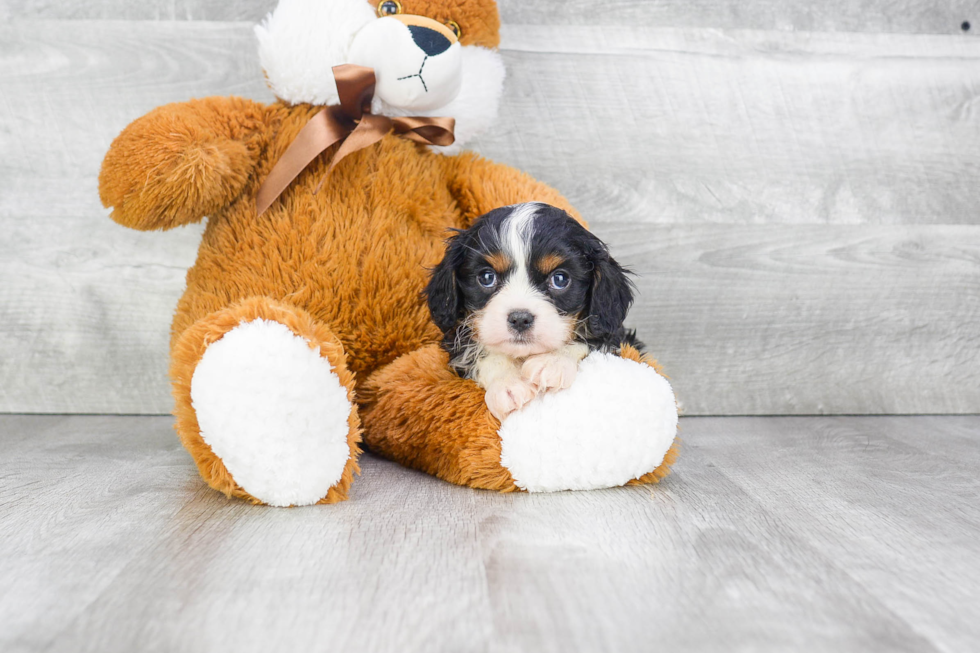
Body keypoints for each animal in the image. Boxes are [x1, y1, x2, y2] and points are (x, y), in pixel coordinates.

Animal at [424, 201, 640, 420]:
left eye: (560, 279)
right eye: (486, 277)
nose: (520, 319)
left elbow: (593, 340)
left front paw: (553, 361)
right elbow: (478, 351)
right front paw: (508, 384)